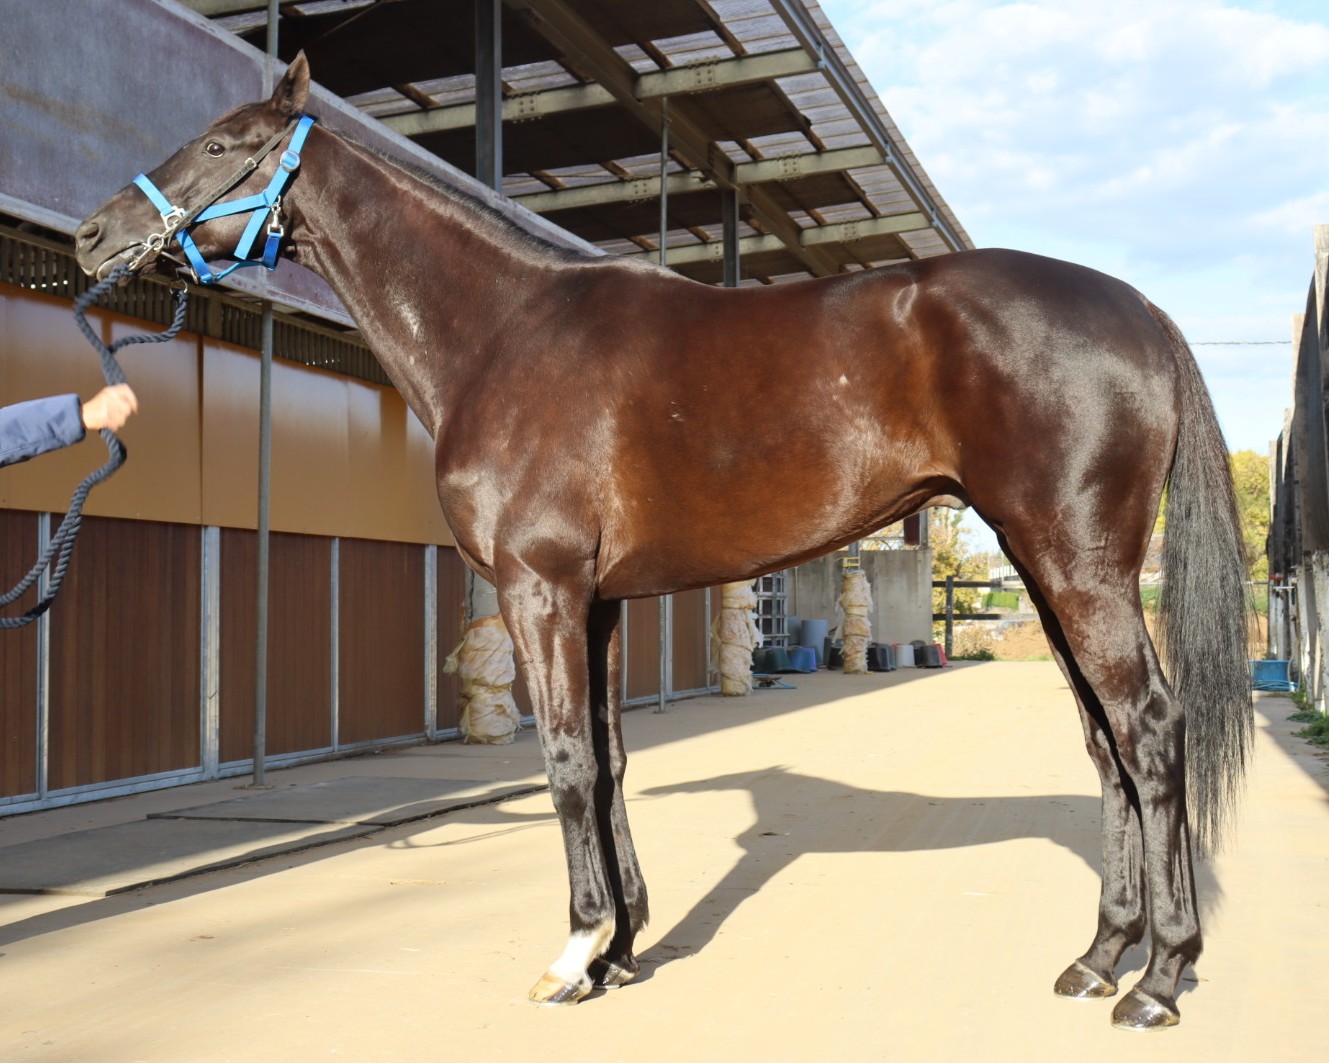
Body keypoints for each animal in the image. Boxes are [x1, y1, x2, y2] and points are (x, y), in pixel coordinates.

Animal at [75, 55, 1252, 1029]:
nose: (93, 237)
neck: (505, 333)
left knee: (1149, 729)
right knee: (1105, 742)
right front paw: (621, 949)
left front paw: (572, 958)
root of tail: (1139, 308)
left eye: (224, 143)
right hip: (1050, 574)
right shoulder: (595, 601)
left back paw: (1158, 979)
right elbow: (607, 762)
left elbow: (560, 762)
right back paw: (1100, 956)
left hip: (1077, 567)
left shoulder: (540, 589)